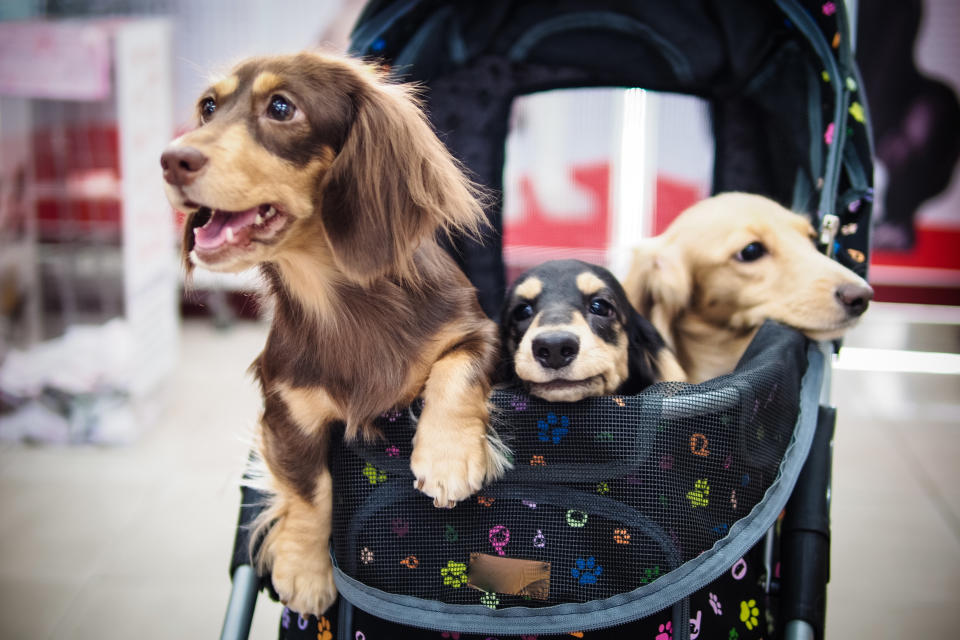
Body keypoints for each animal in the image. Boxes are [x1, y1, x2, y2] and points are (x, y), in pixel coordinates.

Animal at [159, 53, 510, 616]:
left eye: (282, 107)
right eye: (208, 107)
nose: (171, 160)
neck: (337, 304)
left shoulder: (481, 330)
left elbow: (455, 370)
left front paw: (447, 456)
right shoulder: (284, 408)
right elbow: (309, 489)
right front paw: (304, 568)